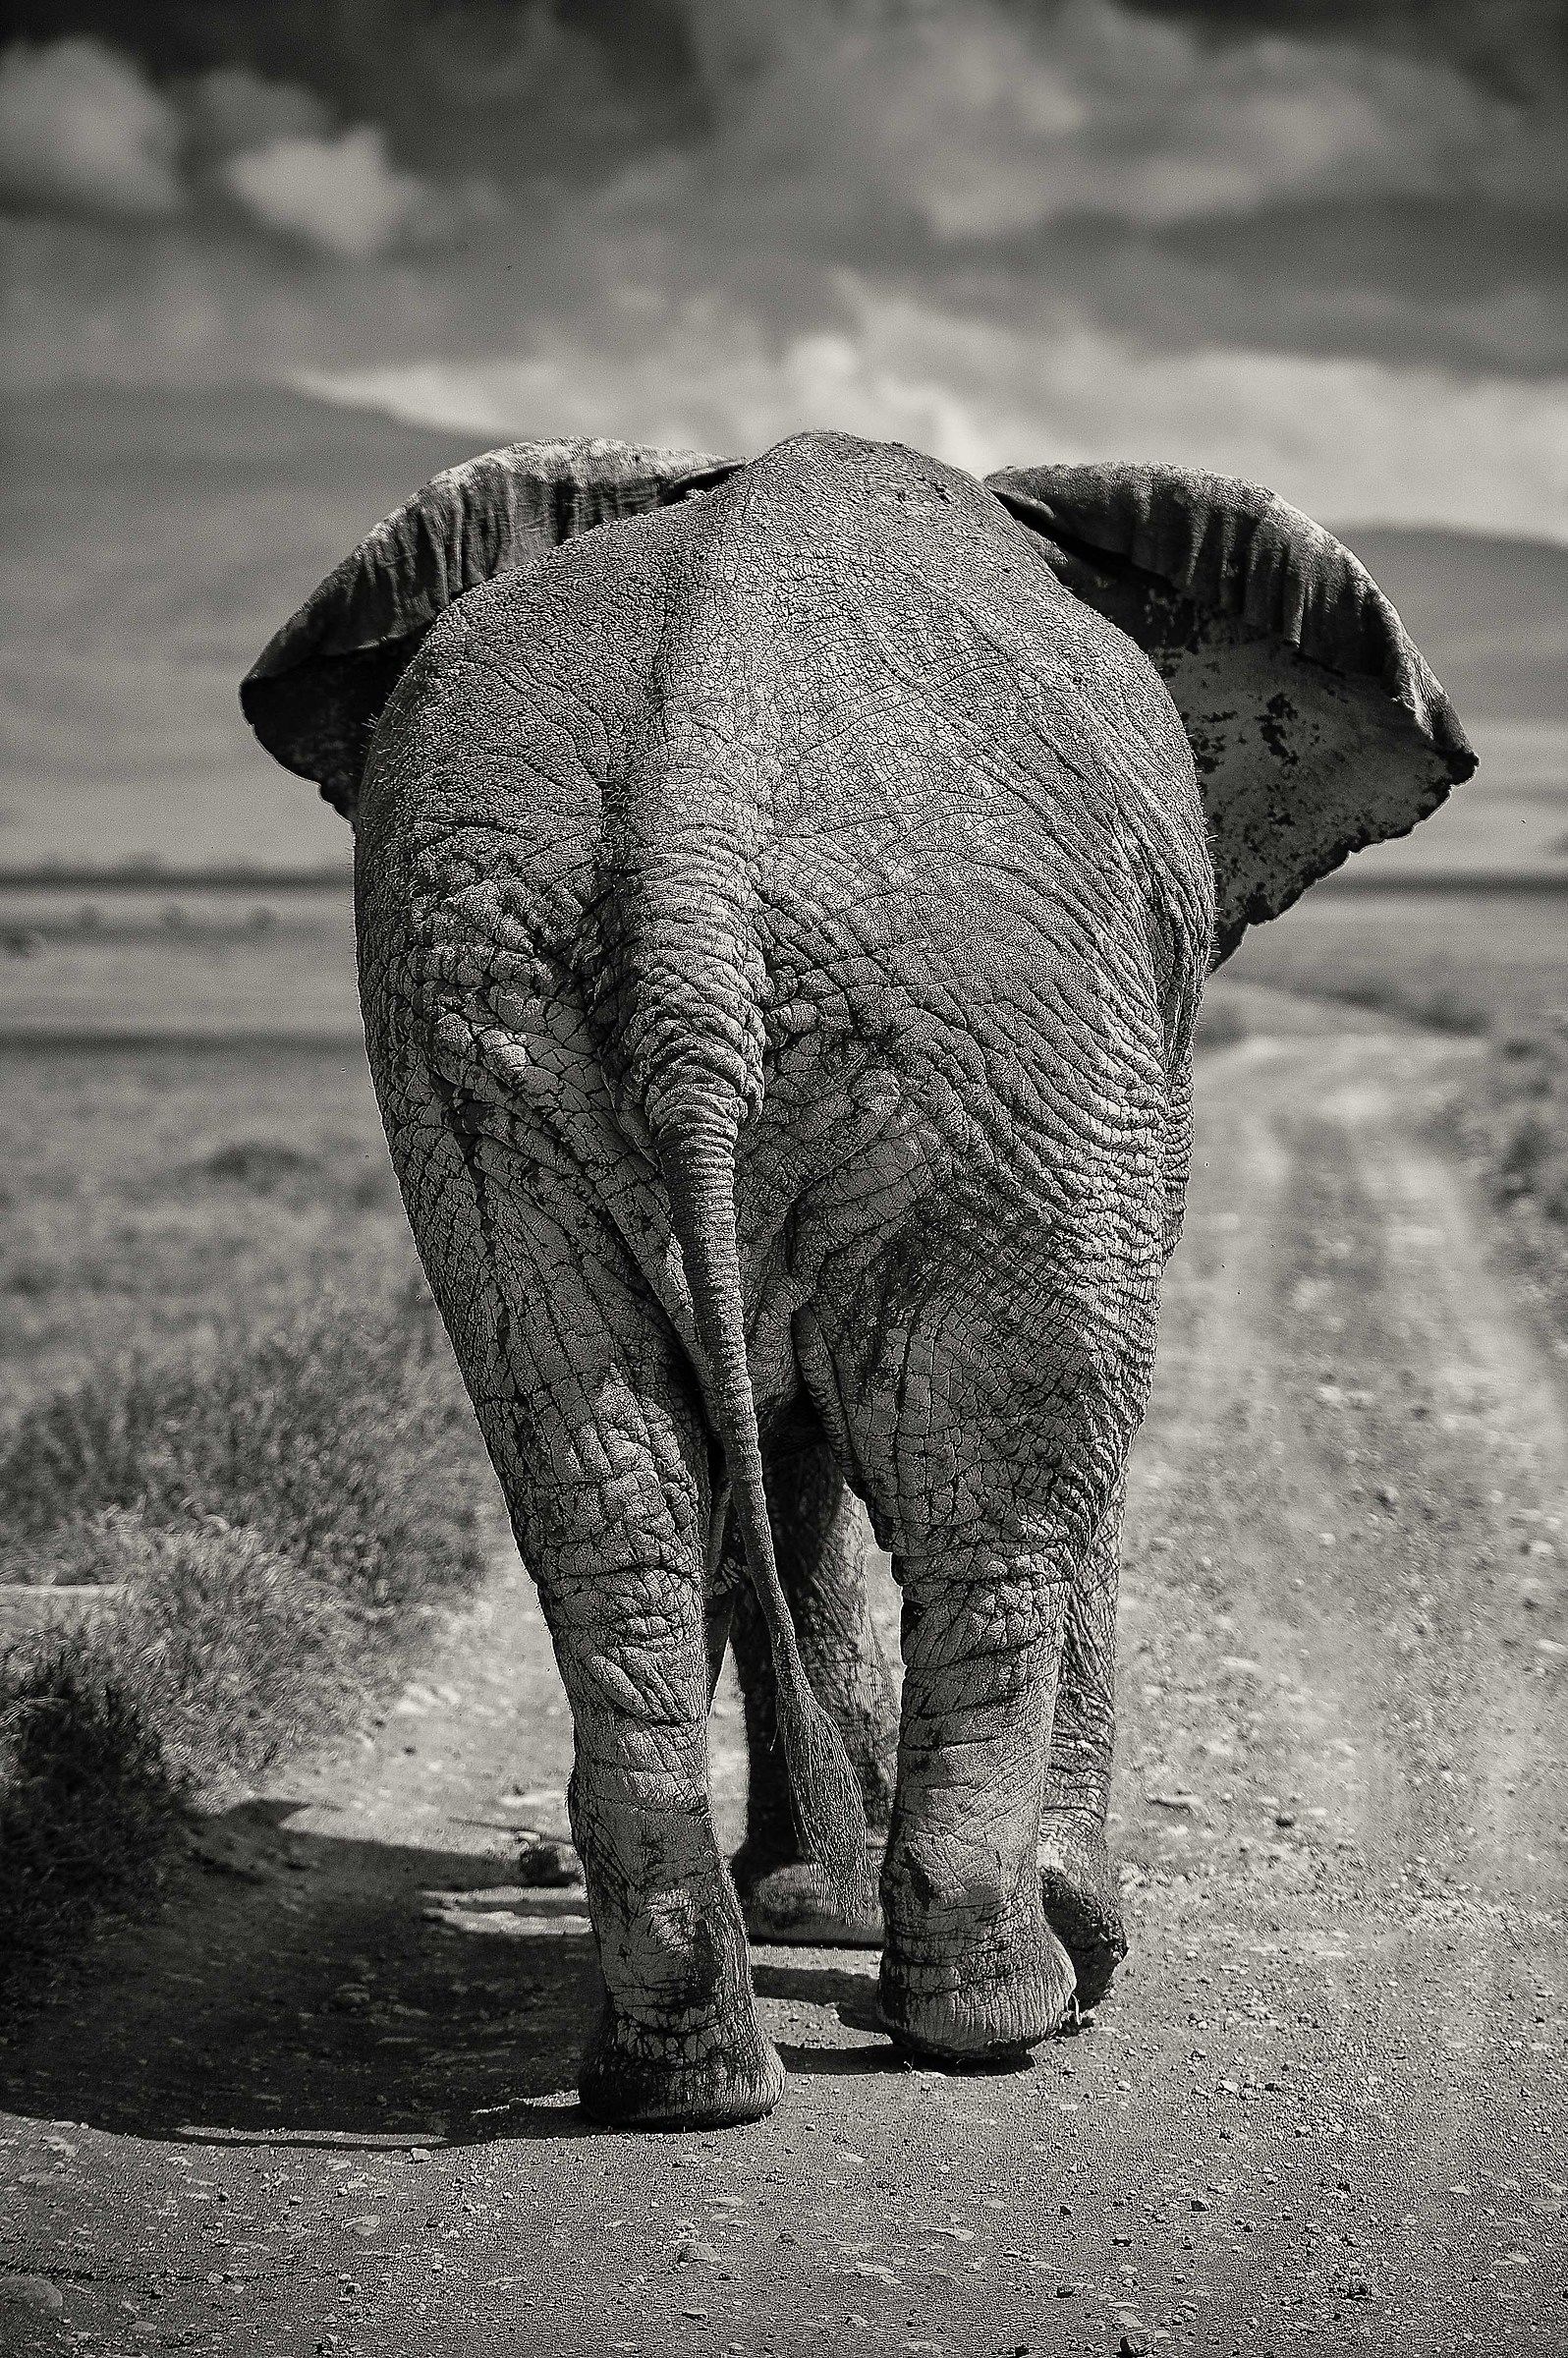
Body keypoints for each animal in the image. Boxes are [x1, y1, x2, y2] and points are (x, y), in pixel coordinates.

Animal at [242, 430, 1472, 2129]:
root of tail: (689, 845)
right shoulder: (1100, 1067)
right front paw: (1052, 1939)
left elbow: (776, 1461)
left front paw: (806, 1906)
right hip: (993, 1014)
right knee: (1007, 1500)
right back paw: (1005, 2009)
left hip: (479, 1018)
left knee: (606, 1510)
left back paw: (683, 2077)